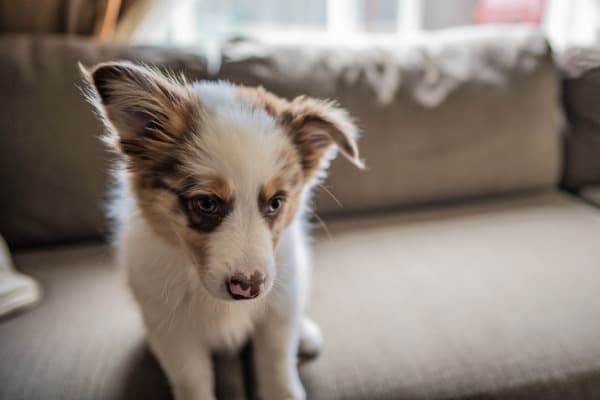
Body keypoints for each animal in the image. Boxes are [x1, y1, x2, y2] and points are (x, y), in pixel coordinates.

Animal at [79, 60, 360, 400]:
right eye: (206, 203)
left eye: (276, 203)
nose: (248, 287)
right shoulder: (173, 335)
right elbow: (193, 383)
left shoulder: (277, 313)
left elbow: (277, 365)